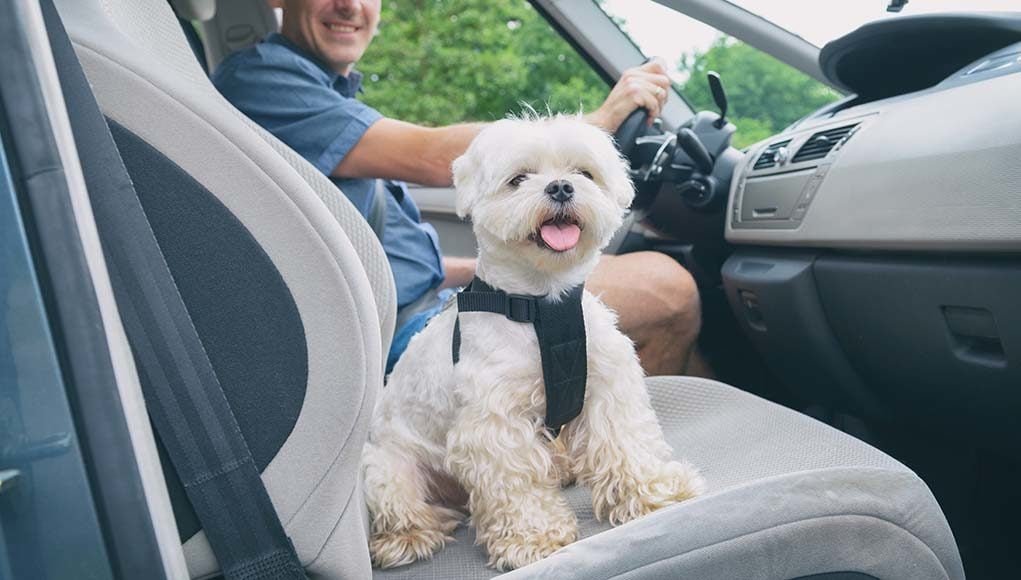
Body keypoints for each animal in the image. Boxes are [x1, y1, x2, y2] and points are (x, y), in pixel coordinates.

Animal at [359, 113, 702, 571]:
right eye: (518, 179)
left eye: (583, 173)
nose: (560, 187)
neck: (542, 305)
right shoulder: (495, 423)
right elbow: (516, 485)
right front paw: (533, 537)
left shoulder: (607, 388)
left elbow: (626, 443)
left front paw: (656, 491)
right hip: (388, 471)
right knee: (402, 505)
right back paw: (408, 536)